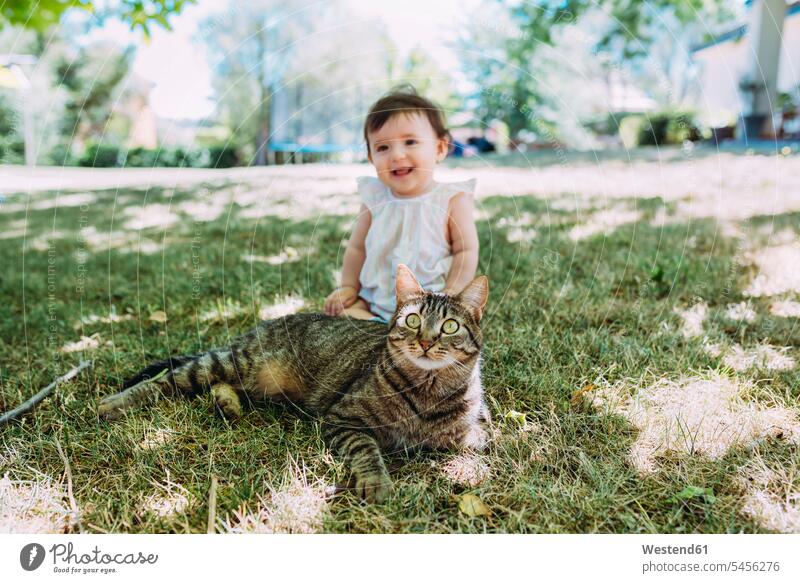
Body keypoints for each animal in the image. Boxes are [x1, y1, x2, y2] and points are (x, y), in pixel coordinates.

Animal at [98, 266, 488, 502]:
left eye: (449, 326)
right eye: (412, 320)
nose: (425, 342)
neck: (426, 391)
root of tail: (261, 325)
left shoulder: (473, 433)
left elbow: (473, 441)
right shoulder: (343, 418)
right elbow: (367, 450)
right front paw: (376, 482)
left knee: (220, 387)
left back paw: (228, 405)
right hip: (231, 363)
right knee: (167, 380)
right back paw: (113, 404)